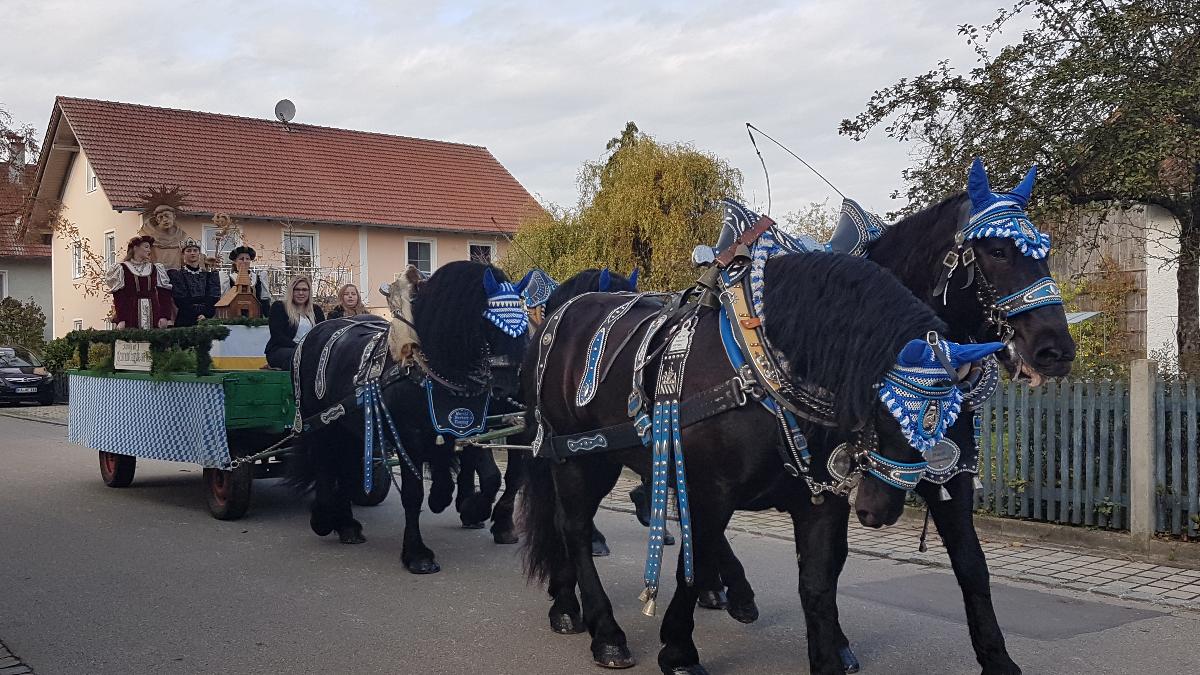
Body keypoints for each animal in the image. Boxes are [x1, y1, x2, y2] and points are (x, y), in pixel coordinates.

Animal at [288, 260, 528, 569]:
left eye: (523, 325)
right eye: (487, 321)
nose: (507, 388)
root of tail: (316, 331)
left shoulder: (467, 428)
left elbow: (489, 478)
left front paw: (469, 508)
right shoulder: (409, 439)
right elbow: (413, 495)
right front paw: (417, 554)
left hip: (352, 427)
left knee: (345, 466)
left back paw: (346, 525)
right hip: (321, 424)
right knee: (325, 465)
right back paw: (325, 517)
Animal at [523, 252, 964, 672]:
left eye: (951, 418)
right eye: (887, 406)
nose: (881, 509)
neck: (760, 376)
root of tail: (560, 316)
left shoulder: (818, 502)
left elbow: (818, 581)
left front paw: (828, 653)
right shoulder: (709, 492)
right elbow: (695, 559)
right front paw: (679, 651)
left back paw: (568, 606)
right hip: (579, 457)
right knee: (575, 529)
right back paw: (604, 631)